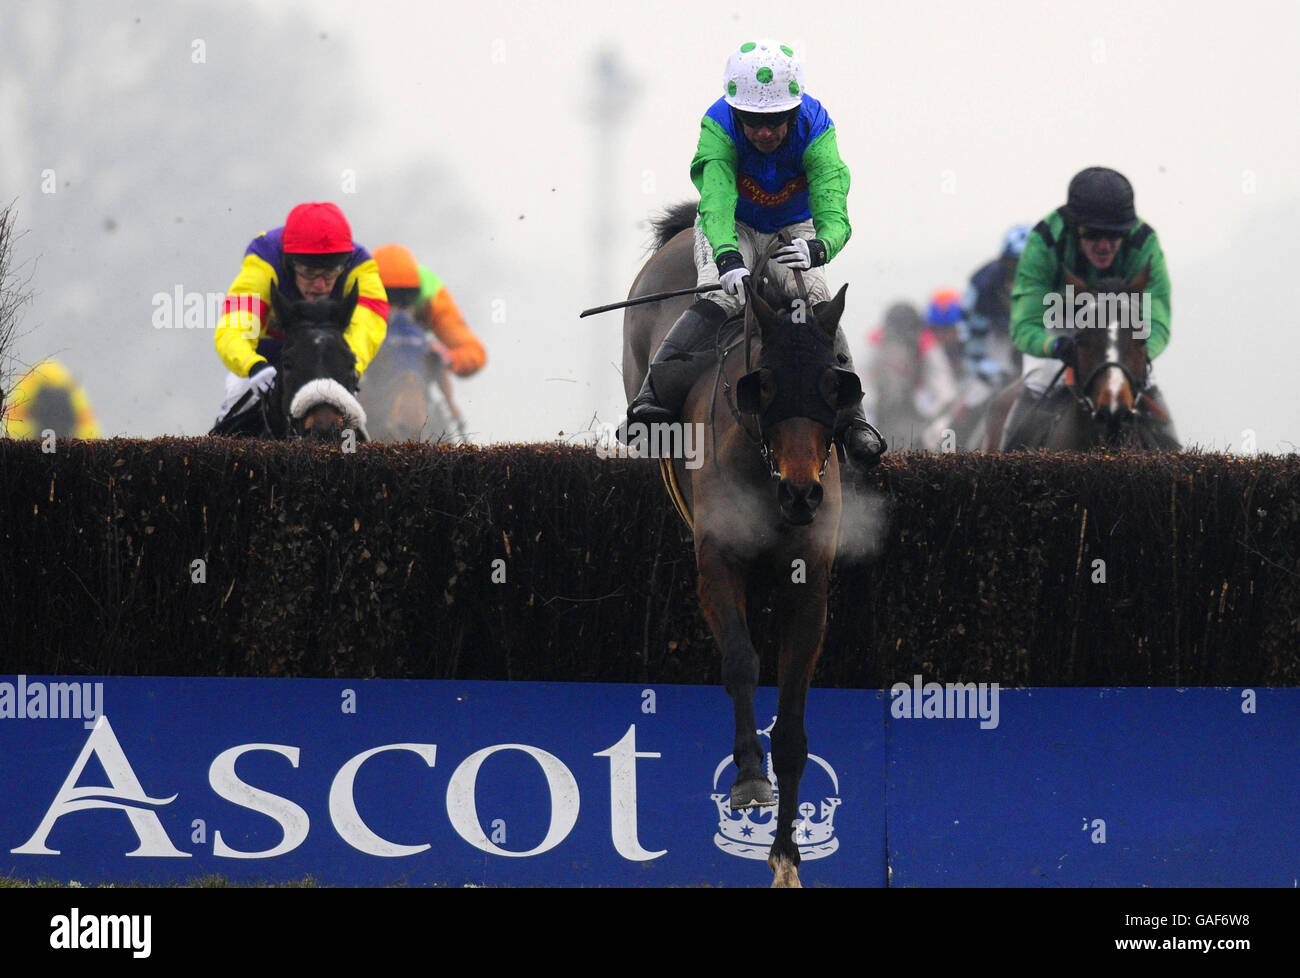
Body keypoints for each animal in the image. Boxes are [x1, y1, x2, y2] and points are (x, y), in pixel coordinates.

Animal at [626, 204, 868, 884]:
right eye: (766, 386)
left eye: (836, 384)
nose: (802, 494)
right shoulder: (717, 561)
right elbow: (740, 663)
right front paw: (750, 780)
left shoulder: (810, 581)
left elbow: (792, 720)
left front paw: (785, 854)